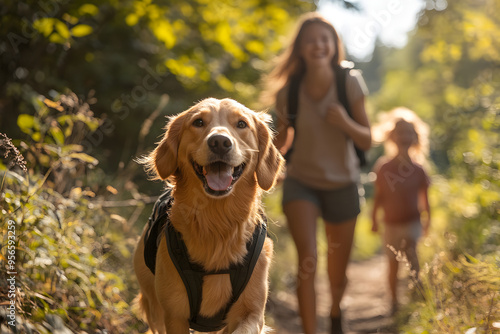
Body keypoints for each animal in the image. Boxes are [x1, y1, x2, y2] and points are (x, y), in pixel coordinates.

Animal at [133, 98, 284, 332]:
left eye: (241, 124)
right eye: (198, 122)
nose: (220, 142)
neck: (217, 222)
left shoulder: (252, 314)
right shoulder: (174, 315)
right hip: (153, 304)